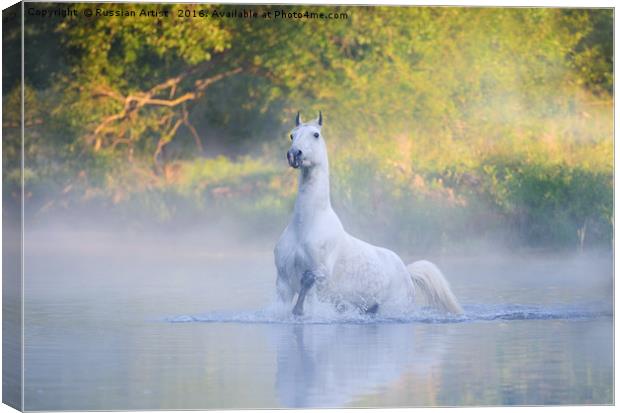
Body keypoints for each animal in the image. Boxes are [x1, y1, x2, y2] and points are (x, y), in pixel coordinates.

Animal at [274, 111, 462, 314]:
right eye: (292, 135)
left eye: (315, 134)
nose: (294, 155)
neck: (307, 224)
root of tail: (406, 271)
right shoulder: (283, 284)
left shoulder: (319, 281)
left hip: (393, 307)